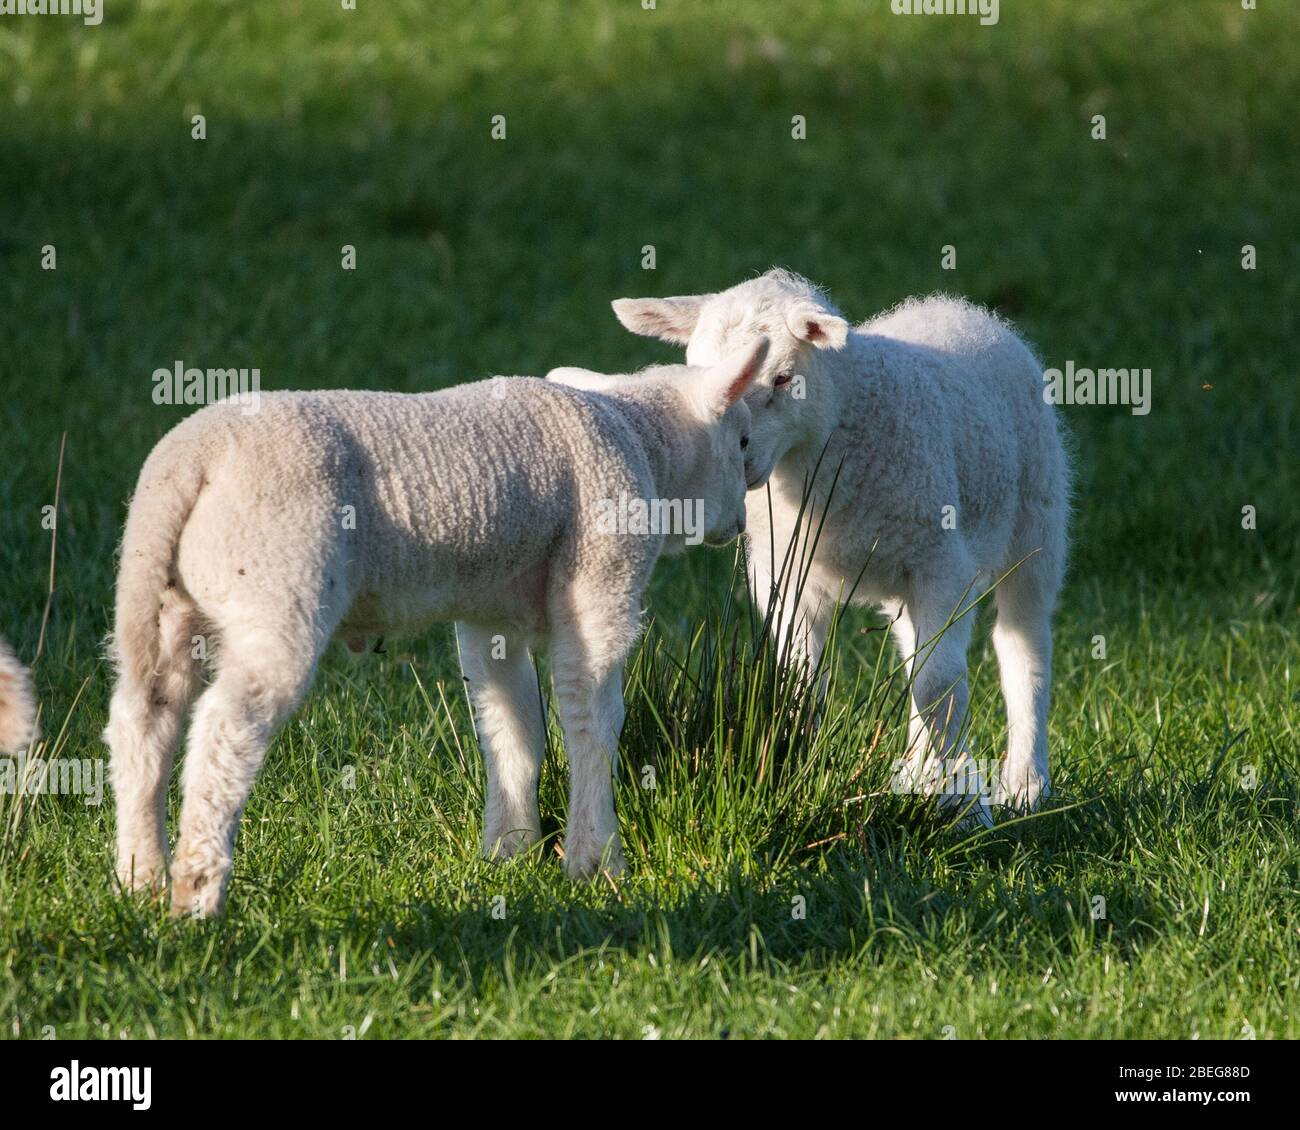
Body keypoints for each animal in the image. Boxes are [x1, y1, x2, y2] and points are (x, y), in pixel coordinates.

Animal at [106, 338, 769, 915]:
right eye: (740, 440)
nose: (743, 520)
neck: (642, 441)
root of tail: (190, 460)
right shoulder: (601, 580)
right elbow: (591, 718)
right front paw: (595, 861)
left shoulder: (490, 611)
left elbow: (511, 726)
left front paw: (509, 850)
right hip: (275, 582)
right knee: (224, 728)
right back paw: (197, 896)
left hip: (165, 599)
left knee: (143, 718)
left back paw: (139, 880)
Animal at [595, 273, 1071, 821]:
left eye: (783, 378)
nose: (738, 461)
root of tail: (965, 310)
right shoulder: (785, 578)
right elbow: (803, 681)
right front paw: (800, 767)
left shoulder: (943, 565)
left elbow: (940, 686)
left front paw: (964, 806)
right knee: (913, 651)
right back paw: (918, 771)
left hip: (1037, 523)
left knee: (1023, 648)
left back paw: (1026, 783)